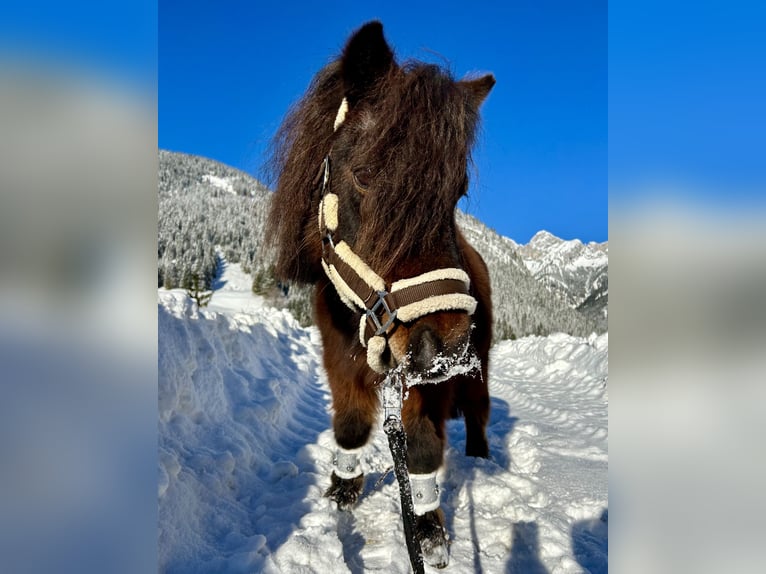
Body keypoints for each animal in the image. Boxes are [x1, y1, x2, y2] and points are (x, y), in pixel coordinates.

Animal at [268, 20, 496, 568]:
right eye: (366, 175)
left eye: (456, 193)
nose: (446, 347)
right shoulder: (337, 357)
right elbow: (350, 426)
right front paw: (342, 491)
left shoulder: (424, 383)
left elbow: (421, 447)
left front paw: (428, 529)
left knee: (478, 411)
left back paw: (480, 458)